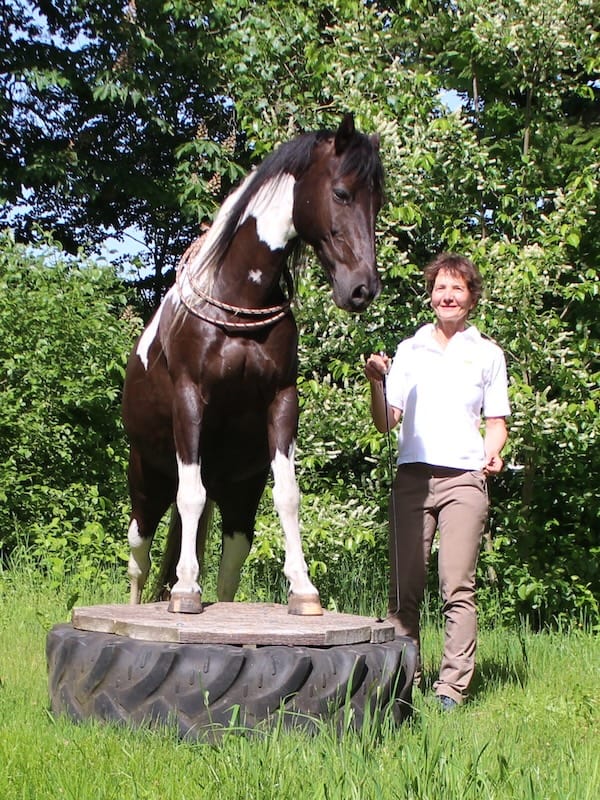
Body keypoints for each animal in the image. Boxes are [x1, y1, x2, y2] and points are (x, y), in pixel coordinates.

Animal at [122, 113, 384, 616]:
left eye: (377, 202)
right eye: (342, 193)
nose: (362, 289)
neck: (237, 295)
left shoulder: (282, 400)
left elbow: (289, 496)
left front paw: (303, 589)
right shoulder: (190, 400)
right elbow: (190, 496)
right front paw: (186, 590)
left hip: (239, 493)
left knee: (228, 565)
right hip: (147, 481)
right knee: (138, 558)